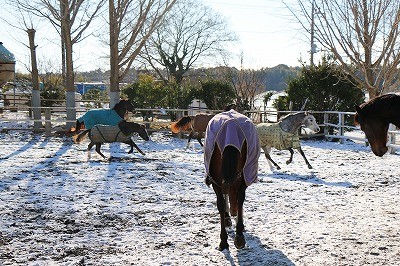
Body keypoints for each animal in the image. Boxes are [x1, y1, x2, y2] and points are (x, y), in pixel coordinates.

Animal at [205, 109, 260, 250]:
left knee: (221, 201)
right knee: (238, 199)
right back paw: (238, 234)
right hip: (241, 176)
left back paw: (224, 240)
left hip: (217, 178)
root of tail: (230, 126)